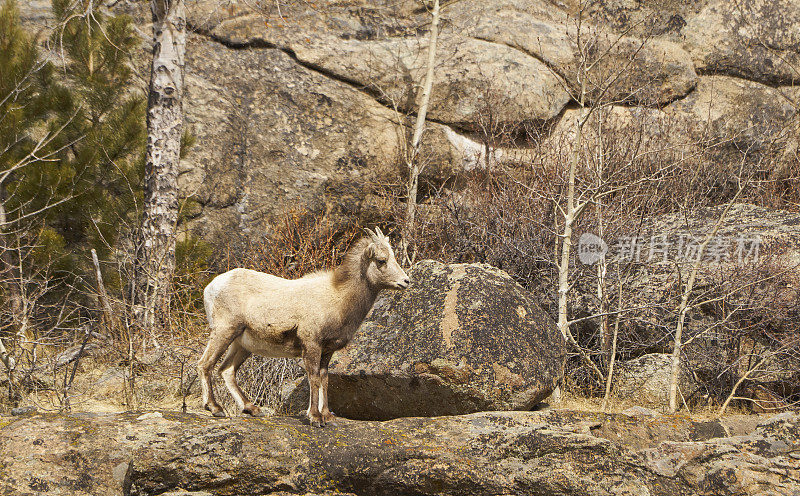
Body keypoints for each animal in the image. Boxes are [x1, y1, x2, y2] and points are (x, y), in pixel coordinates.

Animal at [198, 229, 410, 426]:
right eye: (381, 260)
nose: (406, 281)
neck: (338, 298)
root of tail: (211, 287)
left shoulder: (327, 351)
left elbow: (324, 379)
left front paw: (327, 416)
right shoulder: (312, 344)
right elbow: (313, 378)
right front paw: (315, 418)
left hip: (242, 345)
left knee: (227, 370)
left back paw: (253, 409)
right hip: (224, 332)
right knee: (205, 364)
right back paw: (216, 408)